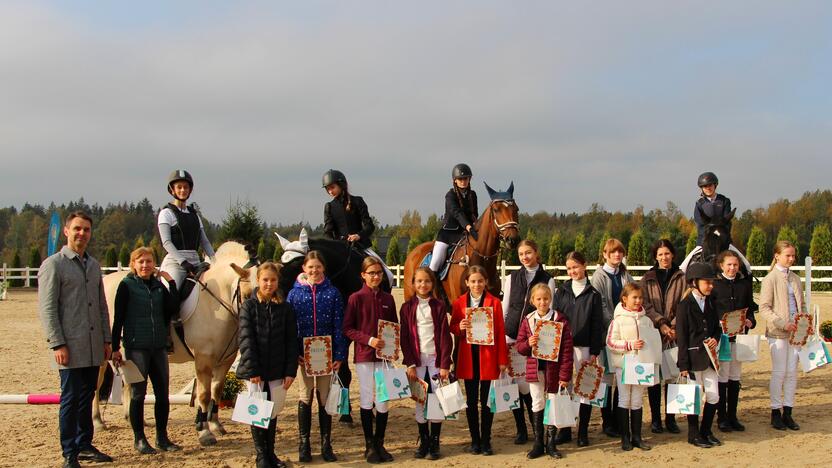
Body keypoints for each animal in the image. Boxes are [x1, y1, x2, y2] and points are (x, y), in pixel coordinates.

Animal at [92, 241, 258, 446]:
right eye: (248, 294)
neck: (217, 301)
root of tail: (106, 280)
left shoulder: (225, 361)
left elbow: (216, 391)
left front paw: (215, 425)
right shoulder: (203, 359)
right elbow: (204, 395)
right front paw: (204, 433)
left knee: (129, 384)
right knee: (97, 385)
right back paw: (98, 422)